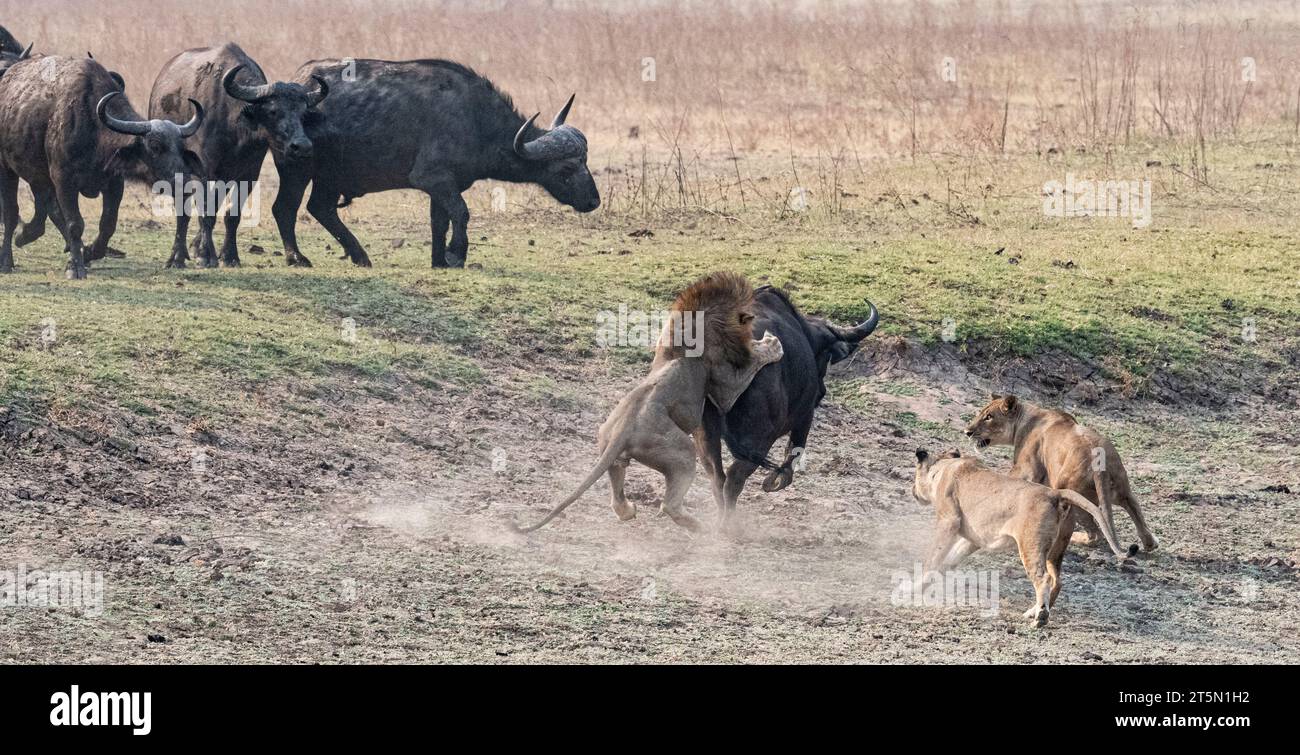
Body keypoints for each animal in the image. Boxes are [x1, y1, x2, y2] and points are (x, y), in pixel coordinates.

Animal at [515, 271, 784, 533]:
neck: (700, 322)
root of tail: (622, 431)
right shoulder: (723, 385)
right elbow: (748, 370)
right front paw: (771, 345)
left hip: (610, 447)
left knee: (617, 490)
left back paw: (629, 511)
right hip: (682, 452)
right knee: (669, 504)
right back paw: (699, 527)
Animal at [912, 448, 1133, 627]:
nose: (912, 491)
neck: (944, 467)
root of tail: (1054, 494)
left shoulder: (949, 521)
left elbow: (933, 558)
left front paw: (914, 586)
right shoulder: (972, 540)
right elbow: (948, 561)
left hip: (1030, 545)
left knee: (1043, 579)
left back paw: (1040, 618)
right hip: (1054, 550)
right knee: (1057, 581)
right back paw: (1032, 612)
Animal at [965, 394, 1157, 552]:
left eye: (989, 417)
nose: (967, 432)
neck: (1025, 417)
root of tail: (1099, 464)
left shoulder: (1026, 468)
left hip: (1073, 494)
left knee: (1095, 534)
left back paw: (1073, 538)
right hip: (1122, 490)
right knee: (1137, 517)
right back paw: (1150, 543)